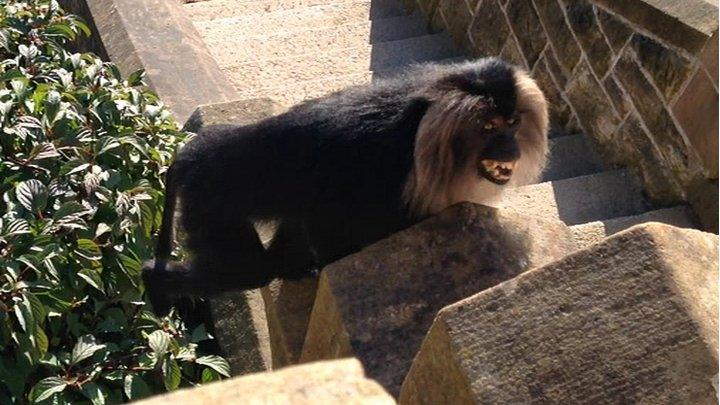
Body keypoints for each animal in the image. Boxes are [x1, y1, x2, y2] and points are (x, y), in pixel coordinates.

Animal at [142, 56, 544, 312]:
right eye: (489, 127)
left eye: (512, 122)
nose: (510, 148)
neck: (422, 121)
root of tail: (194, 153)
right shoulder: (383, 173)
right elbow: (332, 228)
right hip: (210, 201)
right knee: (250, 270)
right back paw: (153, 281)